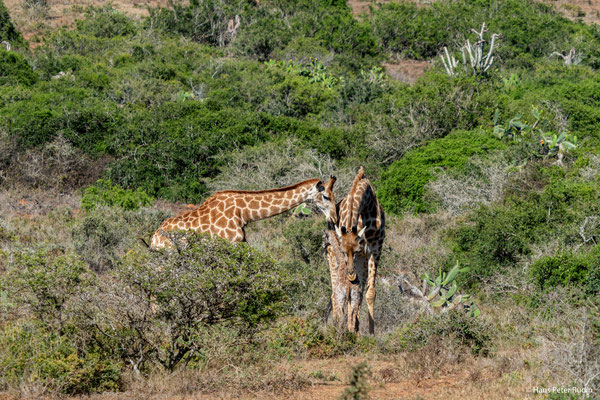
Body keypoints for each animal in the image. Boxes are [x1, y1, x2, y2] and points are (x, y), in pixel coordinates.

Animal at [150, 177, 338, 248]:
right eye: (326, 196)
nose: (335, 219)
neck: (243, 212)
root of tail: (153, 238)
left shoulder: (242, 242)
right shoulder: (230, 243)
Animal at [330, 166, 386, 334]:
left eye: (355, 250)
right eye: (343, 251)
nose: (350, 274)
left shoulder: (374, 251)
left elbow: (370, 293)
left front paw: (371, 333)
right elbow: (352, 291)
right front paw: (351, 329)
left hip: (363, 259)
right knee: (338, 292)